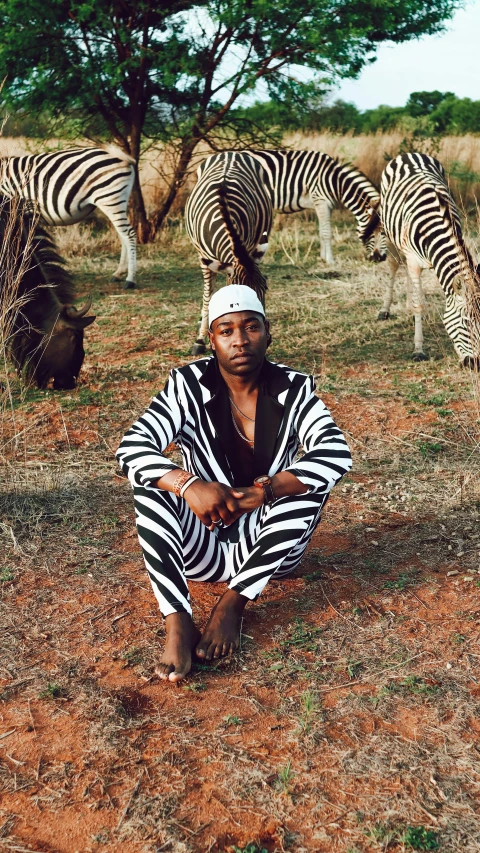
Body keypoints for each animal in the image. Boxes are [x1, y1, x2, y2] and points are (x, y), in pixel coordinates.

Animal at [0, 146, 137, 290]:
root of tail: (120, 156)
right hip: (116, 201)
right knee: (122, 236)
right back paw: (118, 273)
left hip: (110, 199)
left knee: (129, 235)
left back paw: (130, 279)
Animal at [186, 151, 272, 352]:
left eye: (265, 288)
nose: (264, 337)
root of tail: (231, 152)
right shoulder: (204, 258)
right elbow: (208, 298)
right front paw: (201, 340)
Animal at [248, 149, 386, 262]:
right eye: (381, 232)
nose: (381, 258)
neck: (336, 182)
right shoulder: (321, 201)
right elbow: (327, 233)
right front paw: (330, 261)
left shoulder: (323, 205)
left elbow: (321, 232)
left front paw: (323, 258)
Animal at [378, 153, 480, 366]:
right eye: (466, 321)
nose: (475, 363)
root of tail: (409, 154)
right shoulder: (414, 262)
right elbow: (420, 305)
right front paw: (418, 350)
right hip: (389, 232)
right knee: (393, 265)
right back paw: (385, 310)